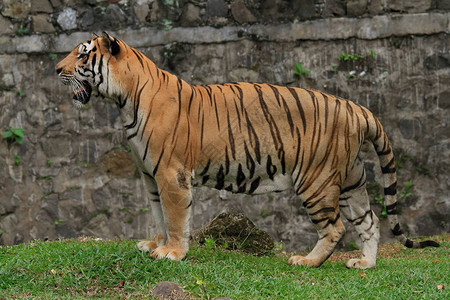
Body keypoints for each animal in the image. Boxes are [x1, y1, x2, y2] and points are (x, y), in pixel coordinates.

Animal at [54, 31, 438, 268]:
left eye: (82, 54)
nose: (56, 69)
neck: (124, 100)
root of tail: (357, 108)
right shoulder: (150, 177)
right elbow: (159, 216)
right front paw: (154, 245)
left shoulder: (171, 175)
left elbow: (176, 217)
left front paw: (173, 253)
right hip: (351, 179)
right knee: (369, 220)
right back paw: (365, 263)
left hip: (316, 180)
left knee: (335, 228)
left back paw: (308, 261)